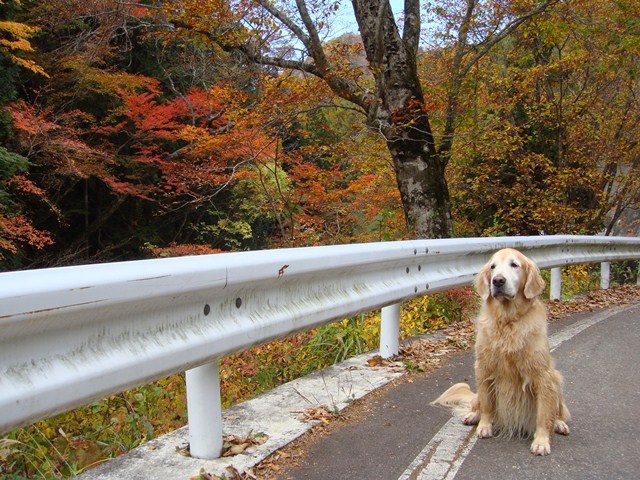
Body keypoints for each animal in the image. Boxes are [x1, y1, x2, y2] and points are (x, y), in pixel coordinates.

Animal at [432, 249, 572, 456]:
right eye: (493, 266)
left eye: (514, 265)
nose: (497, 280)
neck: (507, 320)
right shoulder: (484, 367)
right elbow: (487, 405)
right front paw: (484, 426)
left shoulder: (542, 374)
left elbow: (543, 414)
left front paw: (541, 441)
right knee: (477, 403)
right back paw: (472, 415)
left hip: (557, 379)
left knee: (557, 411)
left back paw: (559, 424)